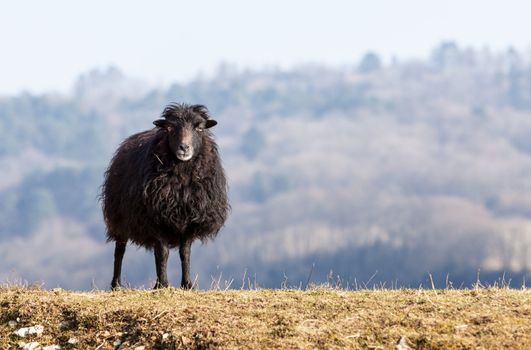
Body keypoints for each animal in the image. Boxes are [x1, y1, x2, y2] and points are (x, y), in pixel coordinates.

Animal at [103, 102, 230, 288]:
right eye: (169, 128)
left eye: (199, 128)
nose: (184, 148)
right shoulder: (156, 218)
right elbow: (162, 253)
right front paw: (162, 284)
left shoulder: (190, 219)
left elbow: (185, 253)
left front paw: (187, 285)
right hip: (119, 217)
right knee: (120, 250)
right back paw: (116, 285)